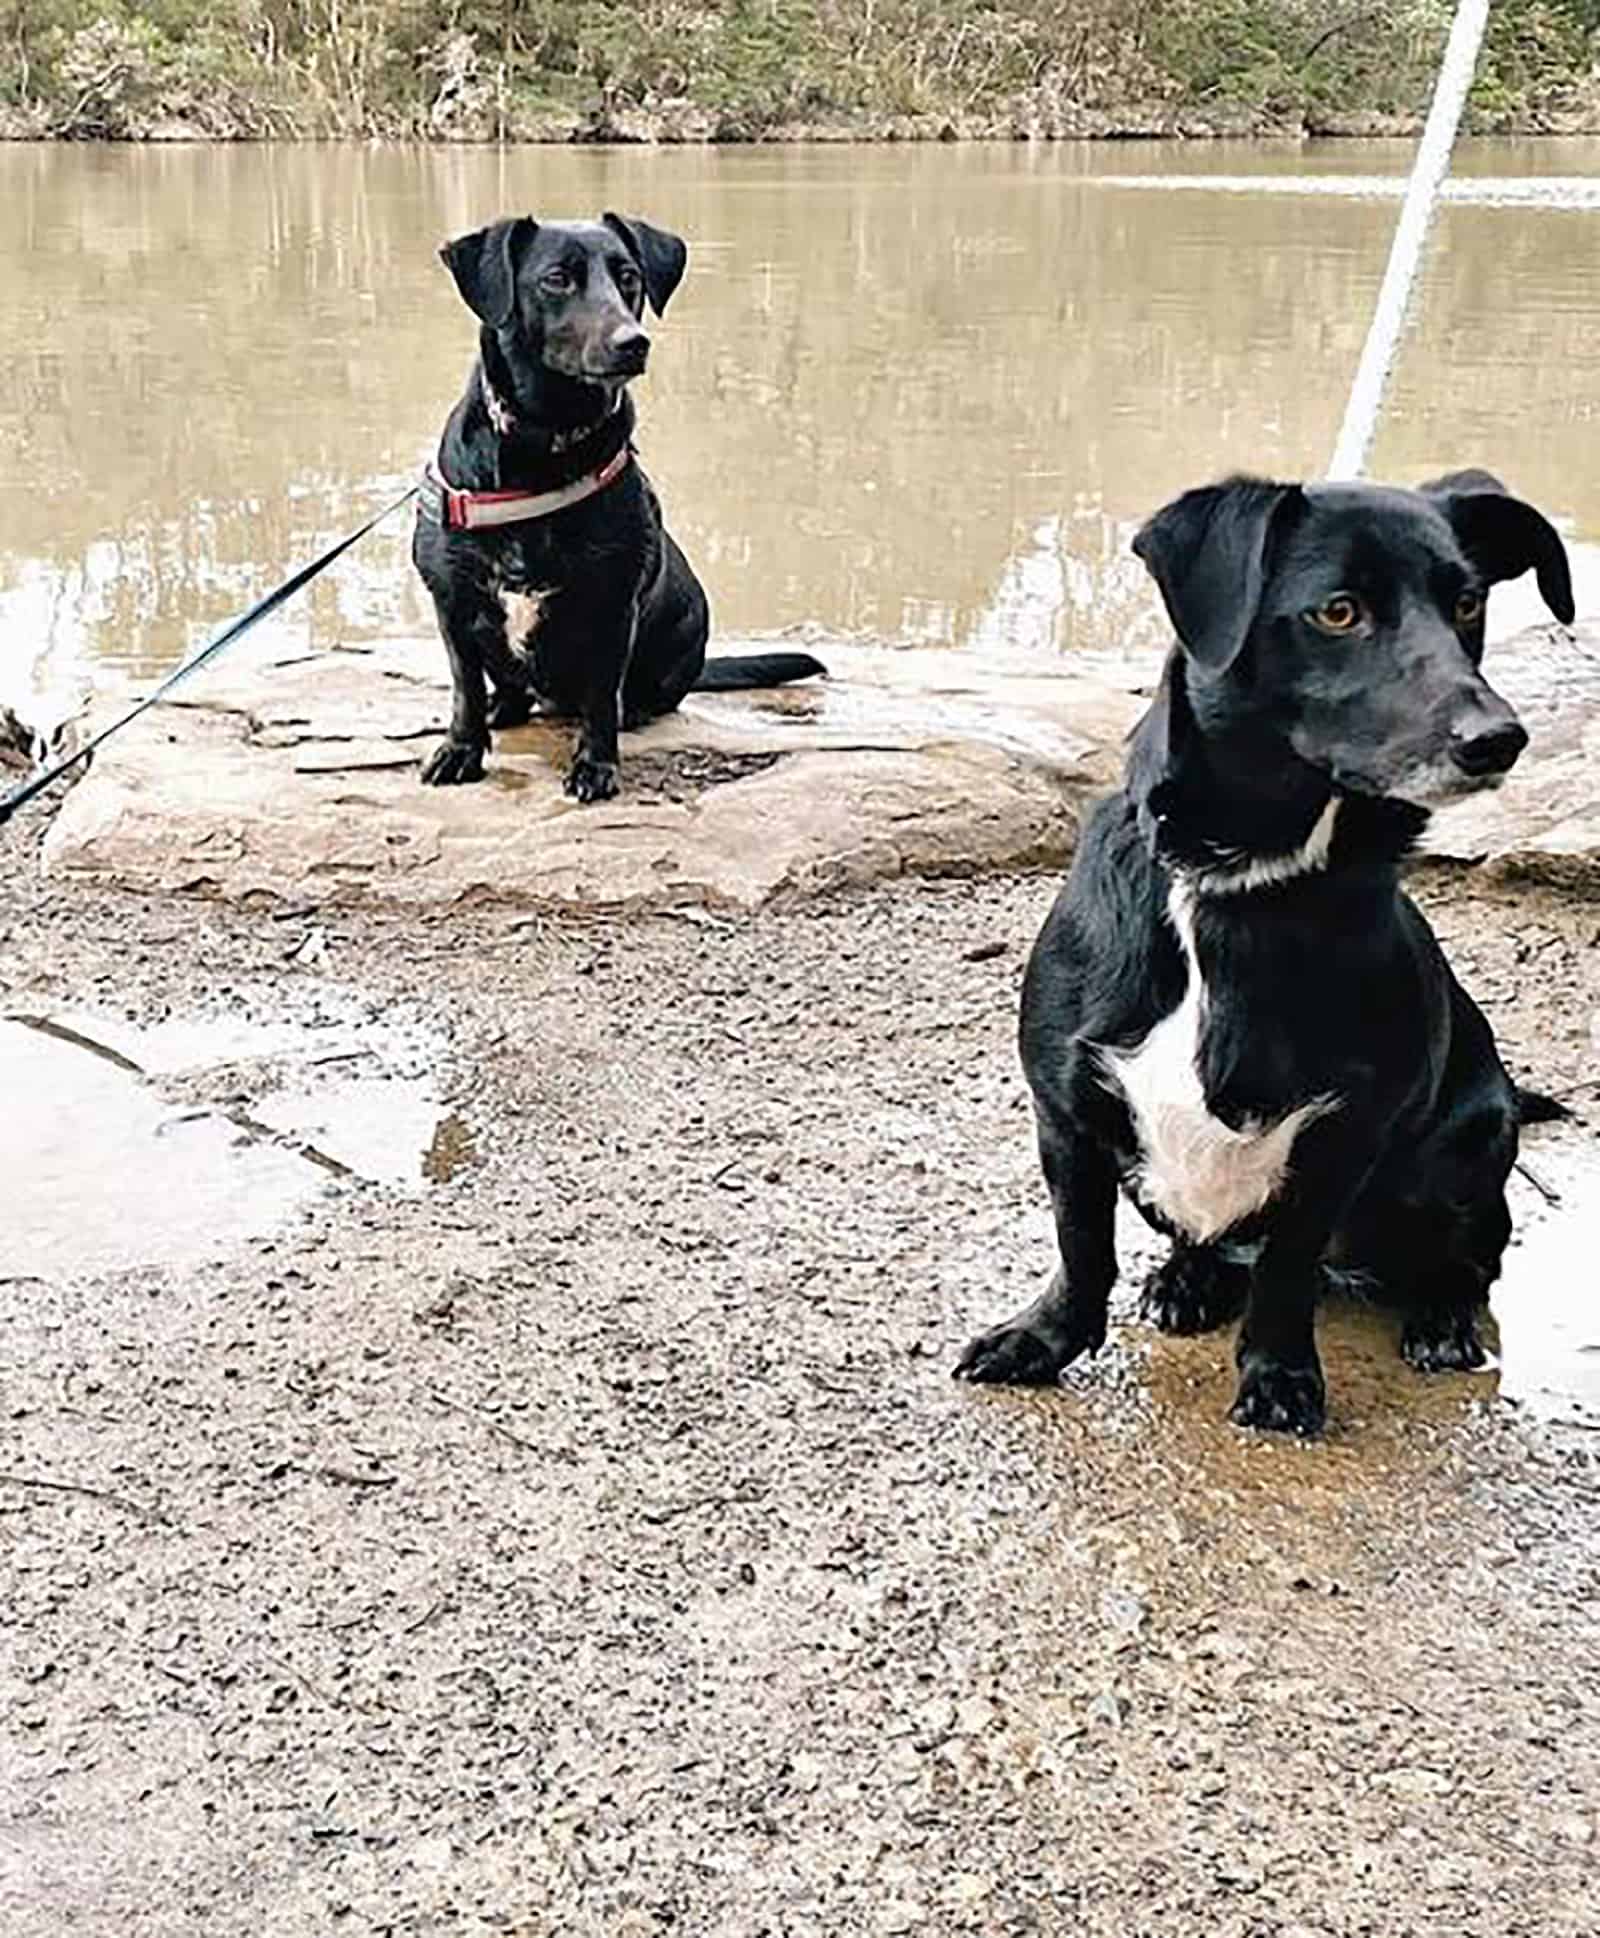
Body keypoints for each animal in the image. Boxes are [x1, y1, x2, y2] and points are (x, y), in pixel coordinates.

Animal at [410, 206, 821, 794]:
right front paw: (461, 750)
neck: (545, 444)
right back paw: (501, 706)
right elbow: (463, 687)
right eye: (557, 278)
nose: (634, 342)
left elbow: (601, 698)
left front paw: (595, 764)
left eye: (629, 277)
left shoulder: (610, 609)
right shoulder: (452, 602)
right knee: (509, 690)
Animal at [949, 470, 1572, 1441]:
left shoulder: (1340, 1138)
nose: (1497, 738)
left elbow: (1286, 1272)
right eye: (1339, 612)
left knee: (1467, 1263)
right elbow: (1081, 1249)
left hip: (1469, 1151)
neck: (1234, 882)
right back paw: (1189, 1279)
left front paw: (1279, 1377)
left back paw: (1438, 1321)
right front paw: (1044, 1340)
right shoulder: (1067, 1113)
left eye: (1468, 603)